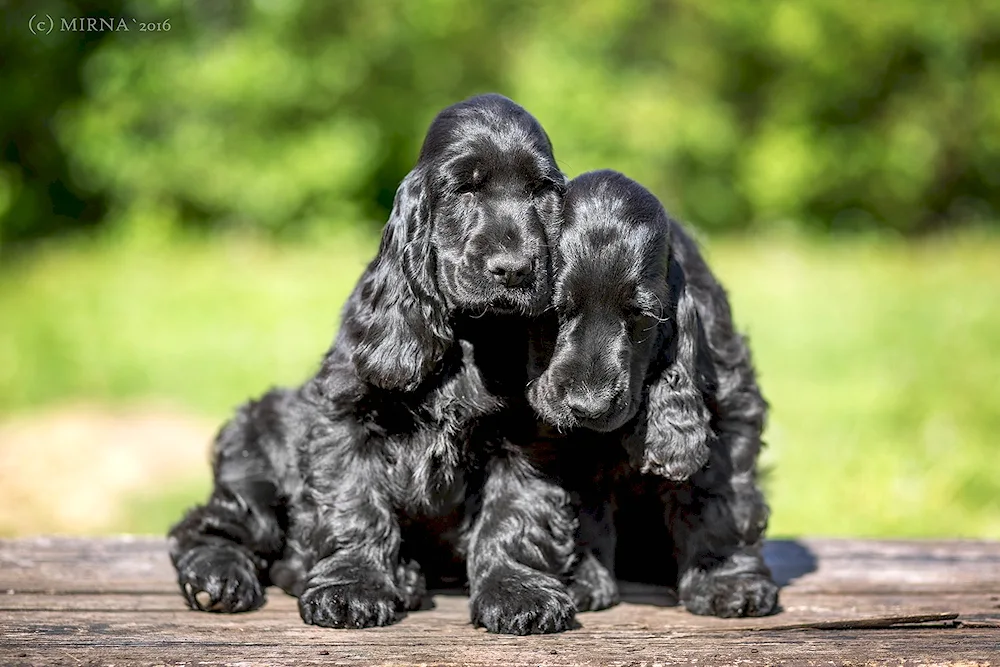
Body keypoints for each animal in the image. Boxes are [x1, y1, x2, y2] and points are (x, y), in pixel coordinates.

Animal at [528, 170, 776, 620]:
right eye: (555, 312)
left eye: (641, 316)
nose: (589, 406)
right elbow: (579, 506)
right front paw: (579, 581)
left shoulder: (732, 408)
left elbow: (719, 500)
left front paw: (728, 582)